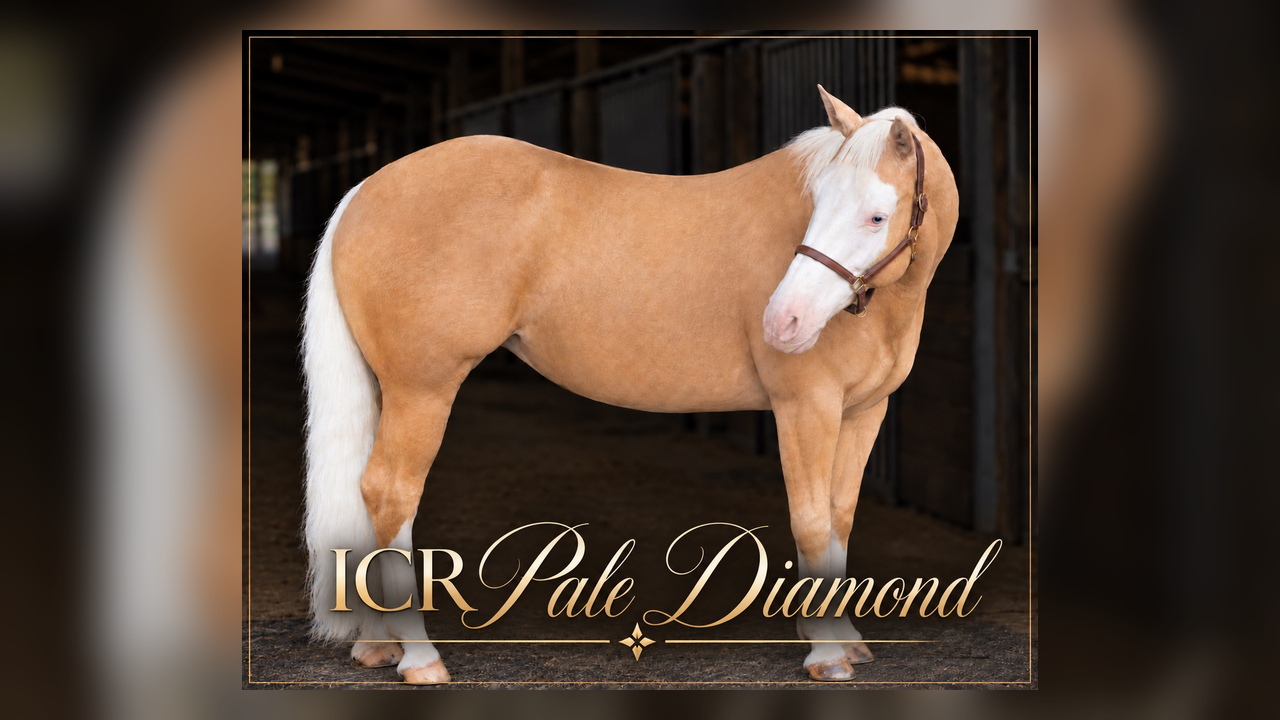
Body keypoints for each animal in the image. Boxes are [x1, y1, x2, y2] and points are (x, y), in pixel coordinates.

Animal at [301, 85, 958, 683]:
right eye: (816, 202)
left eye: (875, 215)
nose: (783, 322)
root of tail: (366, 190)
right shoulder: (806, 406)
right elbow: (812, 520)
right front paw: (825, 652)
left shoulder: (864, 410)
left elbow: (840, 518)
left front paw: (844, 637)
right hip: (423, 390)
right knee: (391, 495)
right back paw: (419, 657)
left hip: (390, 390)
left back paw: (376, 645)